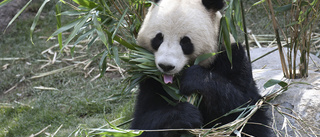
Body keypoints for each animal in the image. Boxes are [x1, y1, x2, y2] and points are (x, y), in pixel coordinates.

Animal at [130, 0, 270, 136]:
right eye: (158, 38)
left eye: (185, 41)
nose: (166, 66)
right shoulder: (151, 81)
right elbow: (143, 122)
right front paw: (185, 115)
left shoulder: (232, 57)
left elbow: (246, 110)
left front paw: (194, 79)